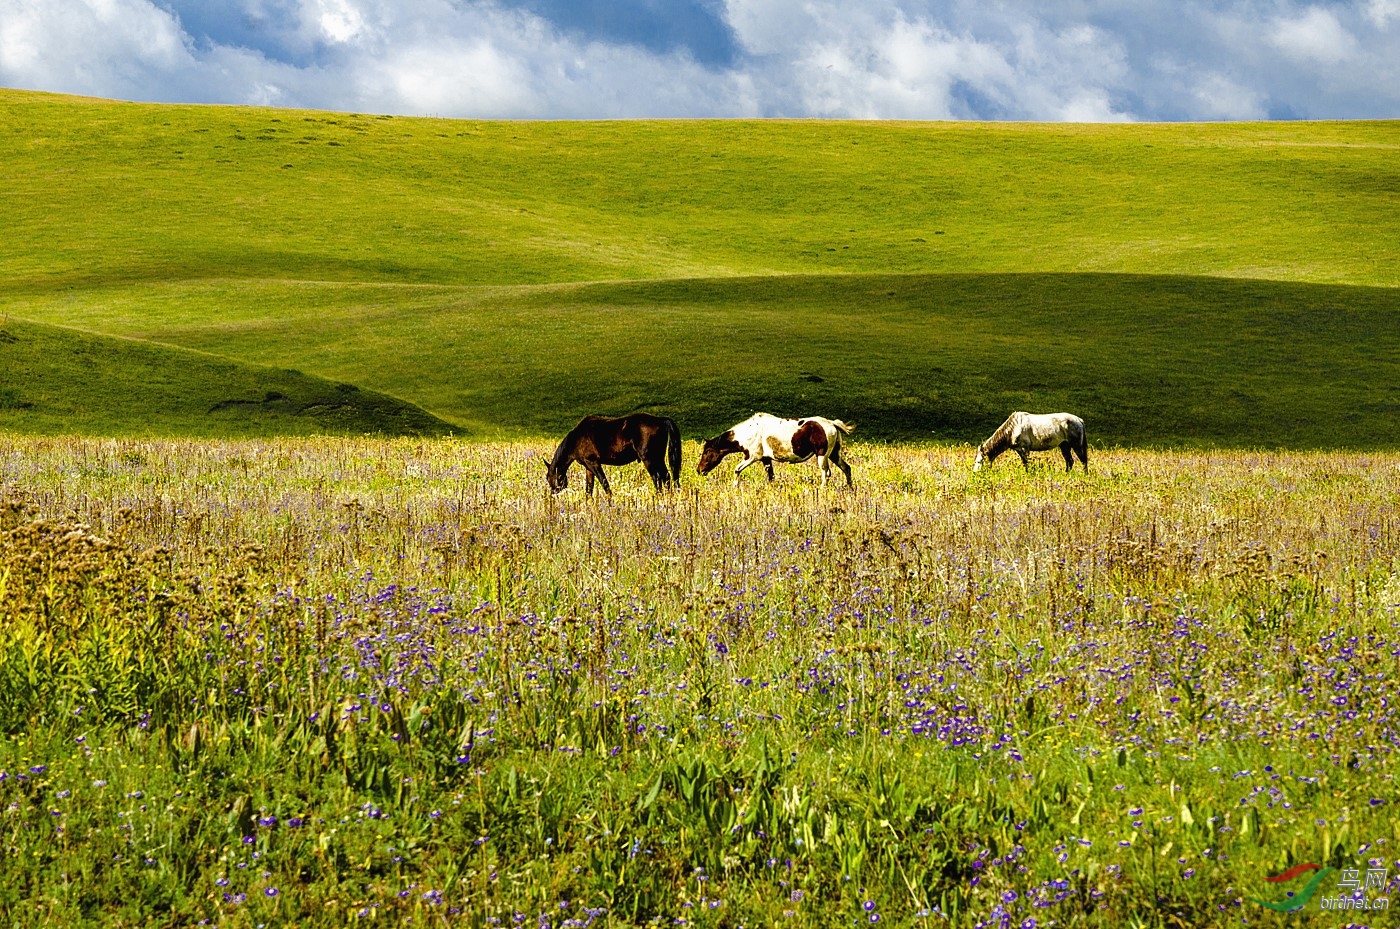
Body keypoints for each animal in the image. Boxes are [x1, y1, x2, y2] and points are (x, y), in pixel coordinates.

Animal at [543, 414, 680, 498]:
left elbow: (605, 484)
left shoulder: (593, 463)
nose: (552, 495)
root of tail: (659, 420)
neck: (577, 438)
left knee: (657, 479)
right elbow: (589, 489)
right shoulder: (588, 467)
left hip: (649, 459)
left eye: (549, 478)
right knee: (667, 477)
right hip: (658, 458)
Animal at [697, 411, 851, 486]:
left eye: (707, 451)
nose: (699, 470)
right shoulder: (765, 459)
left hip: (822, 456)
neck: (750, 432)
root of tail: (832, 423)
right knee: (846, 468)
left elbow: (737, 469)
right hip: (834, 454)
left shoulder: (752, 457)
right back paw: (850, 488)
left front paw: (735, 487)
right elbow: (771, 477)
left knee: (826, 473)